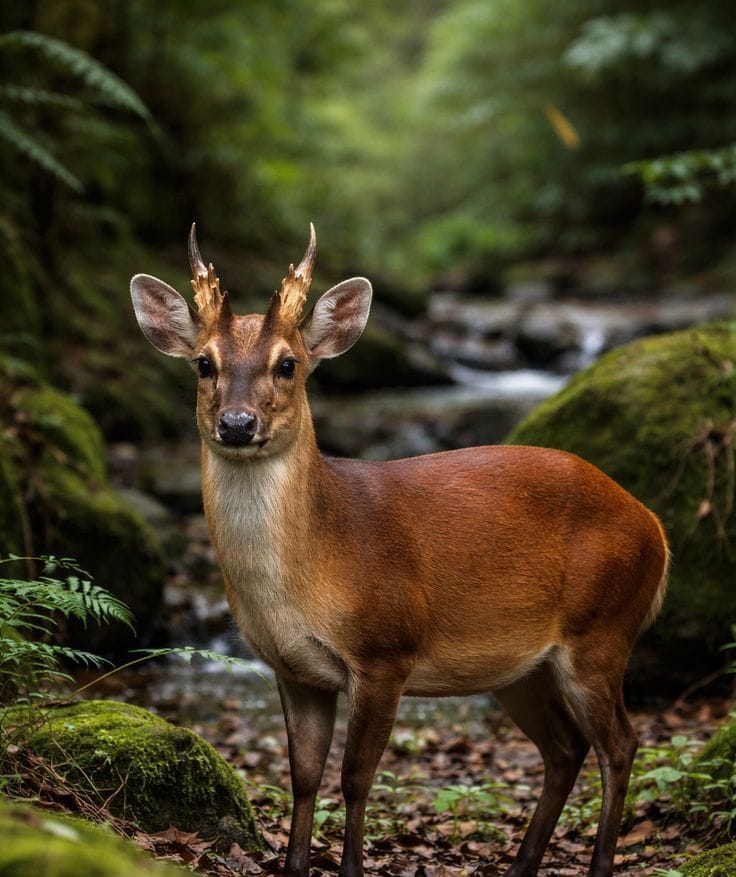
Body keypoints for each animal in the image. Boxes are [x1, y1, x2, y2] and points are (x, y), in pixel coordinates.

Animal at [130, 224, 669, 877]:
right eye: (203, 363)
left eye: (288, 364)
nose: (237, 423)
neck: (317, 564)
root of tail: (654, 524)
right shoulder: (292, 668)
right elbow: (303, 776)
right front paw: (294, 866)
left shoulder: (386, 649)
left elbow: (355, 778)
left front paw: (351, 868)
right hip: (523, 666)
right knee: (565, 749)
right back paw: (521, 865)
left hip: (602, 630)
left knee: (621, 744)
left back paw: (597, 863)